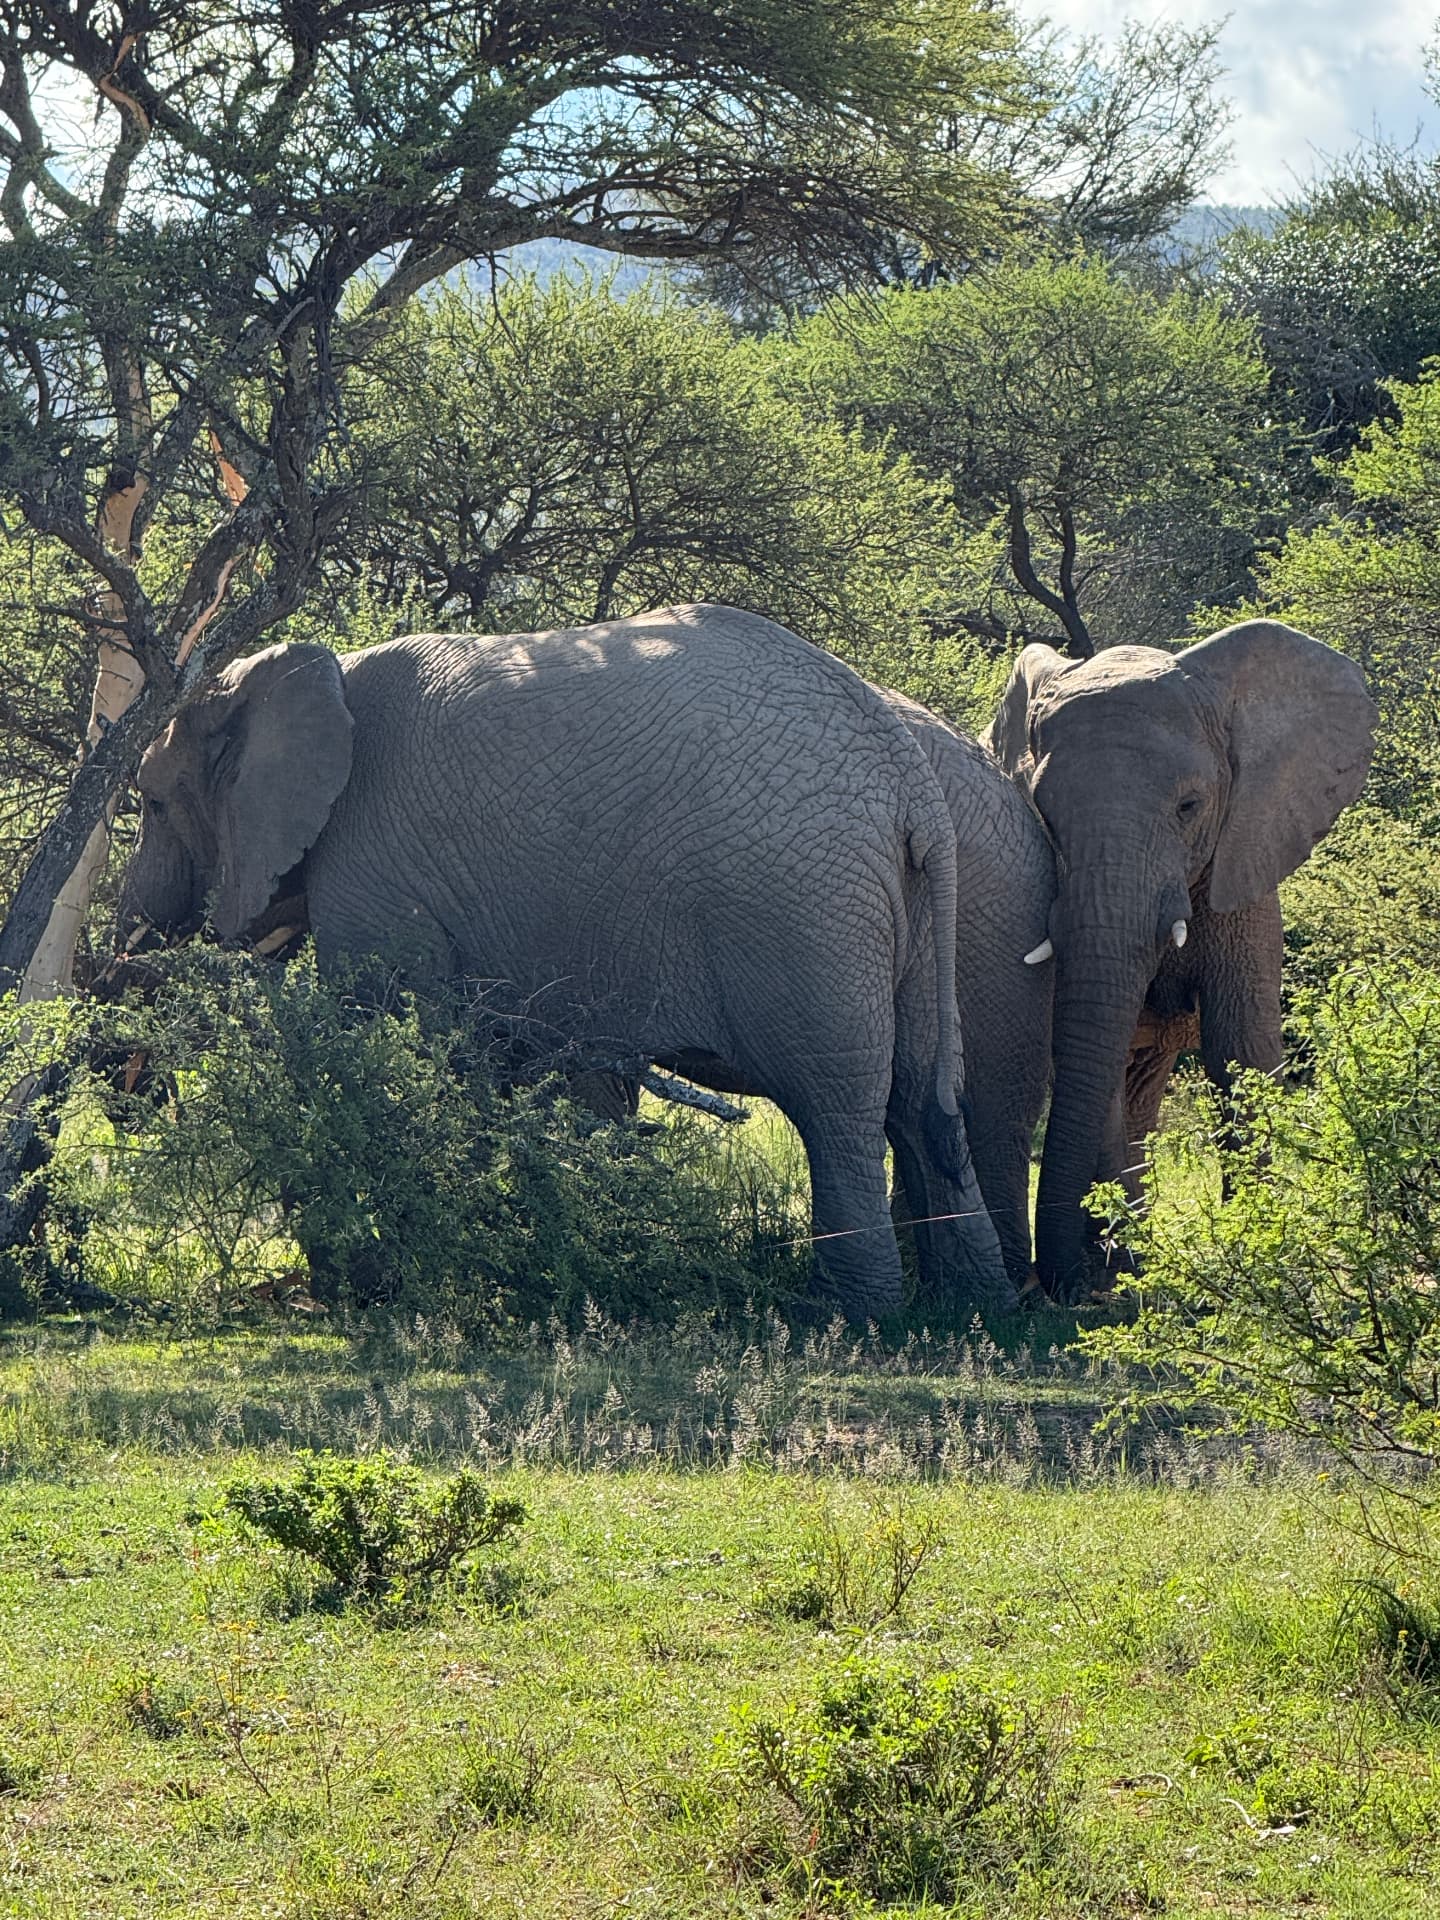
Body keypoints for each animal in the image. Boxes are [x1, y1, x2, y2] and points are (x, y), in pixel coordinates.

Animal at [118, 602, 1012, 1320]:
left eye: (152, 804)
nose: (140, 1091)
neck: (309, 673)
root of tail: (909, 784)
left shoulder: (377, 865)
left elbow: (383, 1036)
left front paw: (405, 1278)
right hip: (904, 915)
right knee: (925, 1105)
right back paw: (976, 1311)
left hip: (807, 912)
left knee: (838, 1109)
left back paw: (846, 1316)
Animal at [984, 619, 1377, 1303]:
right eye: (1043, 813)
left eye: (1189, 807)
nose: (1054, 1287)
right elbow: (1098, 1060)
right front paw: (1116, 1272)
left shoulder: (1245, 863)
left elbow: (1239, 1050)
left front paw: (1258, 1251)